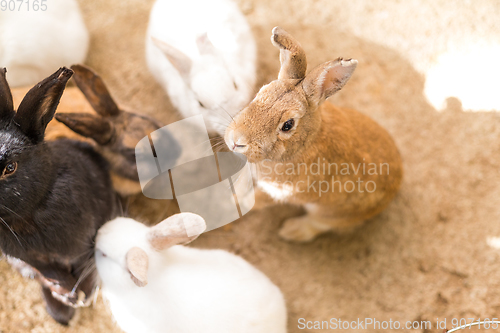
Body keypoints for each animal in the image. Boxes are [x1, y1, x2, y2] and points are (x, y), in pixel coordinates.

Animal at [0, 66, 120, 322]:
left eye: (10, 167)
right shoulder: (29, 258)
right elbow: (47, 271)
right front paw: (67, 293)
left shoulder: (83, 241)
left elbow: (82, 261)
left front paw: (80, 293)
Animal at [226, 27, 402, 241]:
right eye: (259, 94)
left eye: (288, 125)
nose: (236, 141)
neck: (304, 144)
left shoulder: (280, 192)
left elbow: (255, 201)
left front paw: (232, 203)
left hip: (331, 213)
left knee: (318, 224)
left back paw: (291, 230)